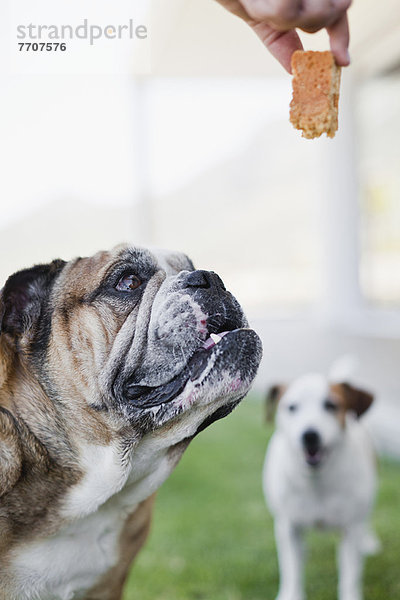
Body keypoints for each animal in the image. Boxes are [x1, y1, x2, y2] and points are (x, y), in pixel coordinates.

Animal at [264, 376, 380, 600]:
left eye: (331, 405)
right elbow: (292, 570)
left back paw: (368, 541)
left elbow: (350, 575)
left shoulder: (350, 530)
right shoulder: (289, 527)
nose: (310, 435)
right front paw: (291, 594)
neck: (316, 482)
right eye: (292, 407)